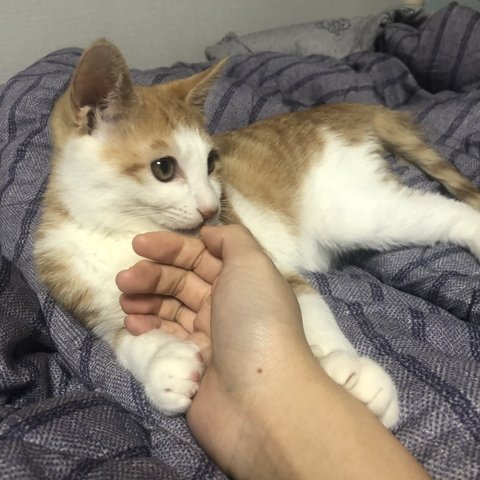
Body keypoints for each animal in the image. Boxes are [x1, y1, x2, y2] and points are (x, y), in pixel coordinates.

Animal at [34, 40, 480, 429]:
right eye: (164, 168)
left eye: (211, 162)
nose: (211, 208)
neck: (126, 231)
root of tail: (345, 108)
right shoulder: (95, 304)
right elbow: (128, 341)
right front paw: (165, 369)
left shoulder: (260, 257)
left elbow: (307, 308)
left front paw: (347, 368)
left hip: (354, 212)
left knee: (445, 210)